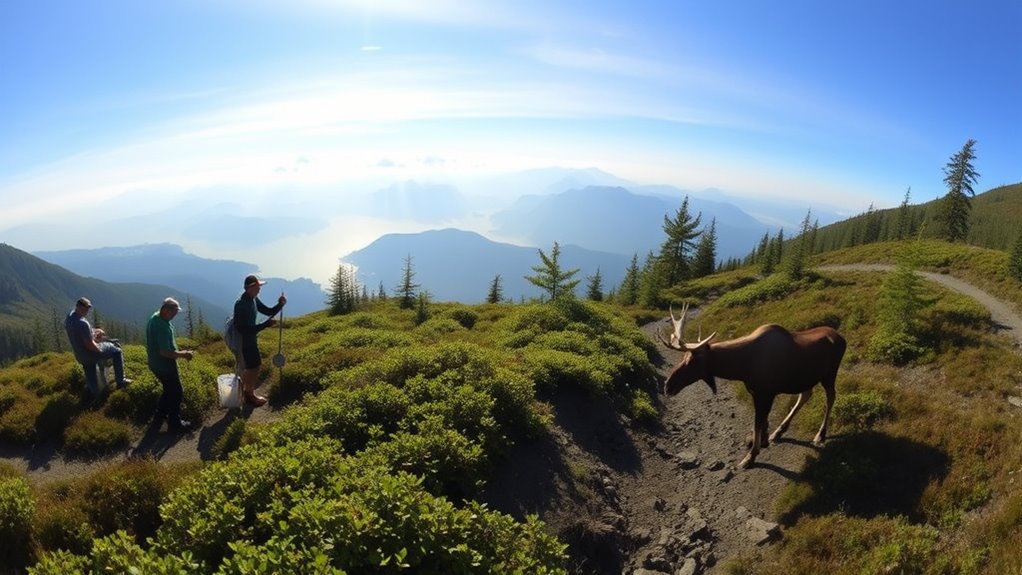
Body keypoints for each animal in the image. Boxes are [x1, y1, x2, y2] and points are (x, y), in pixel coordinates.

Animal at [658, 304, 850, 469]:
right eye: (683, 358)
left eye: (691, 361)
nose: (667, 386)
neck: (742, 367)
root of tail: (843, 338)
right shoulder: (757, 393)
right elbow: (762, 421)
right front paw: (763, 440)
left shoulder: (765, 393)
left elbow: (757, 422)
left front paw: (750, 457)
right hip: (807, 378)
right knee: (806, 395)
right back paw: (779, 431)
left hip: (829, 374)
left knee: (831, 397)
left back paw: (820, 434)